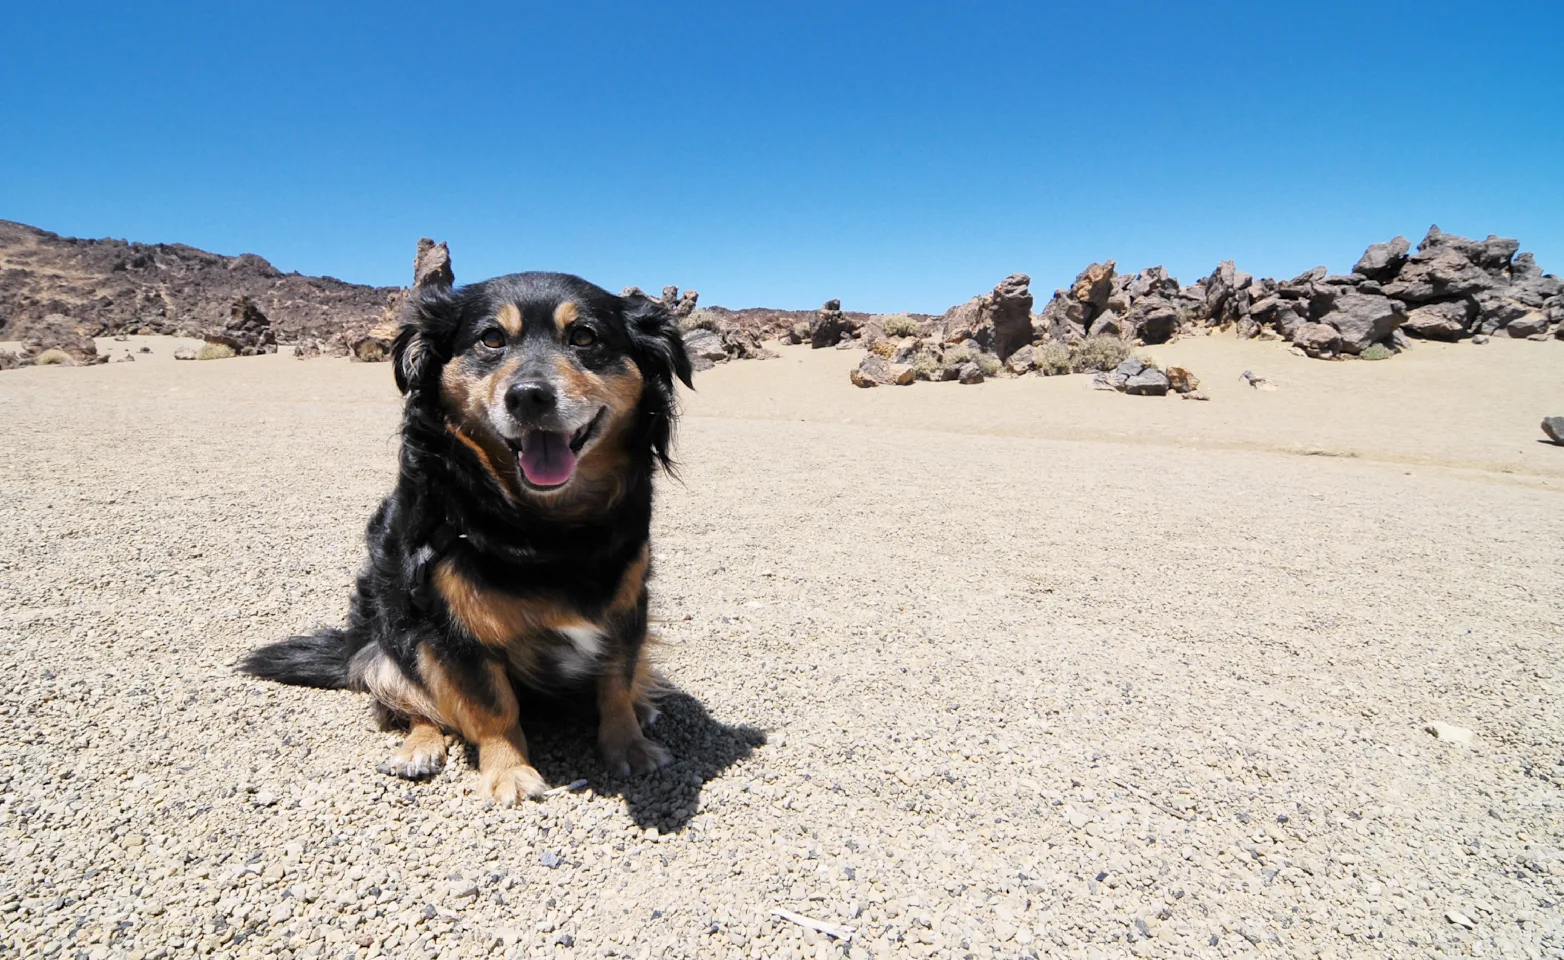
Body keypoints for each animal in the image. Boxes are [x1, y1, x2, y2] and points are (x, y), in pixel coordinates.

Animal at [237, 270, 691, 806]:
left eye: (584, 337)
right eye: (491, 339)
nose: (528, 396)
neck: (546, 527)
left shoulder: (627, 602)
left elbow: (617, 681)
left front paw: (630, 745)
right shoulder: (450, 625)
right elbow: (491, 705)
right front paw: (510, 772)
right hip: (392, 639)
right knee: (412, 701)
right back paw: (419, 748)